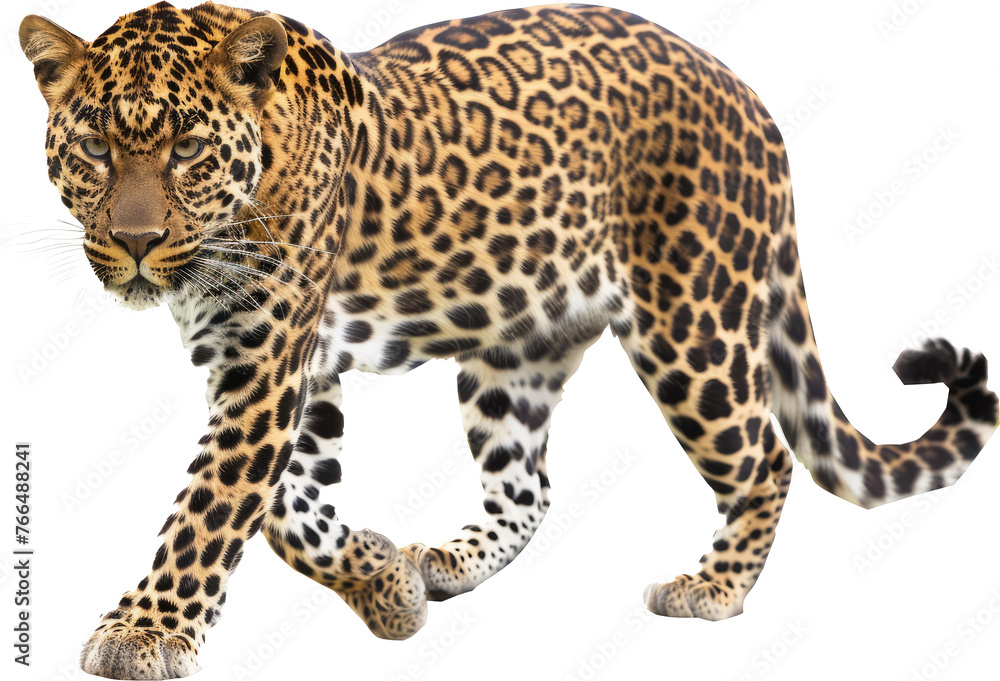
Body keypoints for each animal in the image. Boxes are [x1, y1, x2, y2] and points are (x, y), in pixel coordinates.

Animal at [18, 2, 999, 678]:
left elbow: (213, 509)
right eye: (95, 149)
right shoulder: (275, 366)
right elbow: (291, 514)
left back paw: (713, 589)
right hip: (516, 350)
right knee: (529, 483)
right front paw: (386, 585)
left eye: (187, 148)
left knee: (764, 456)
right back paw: (446, 561)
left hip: (693, 324)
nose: (136, 242)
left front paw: (142, 633)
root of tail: (750, 98)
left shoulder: (268, 365)